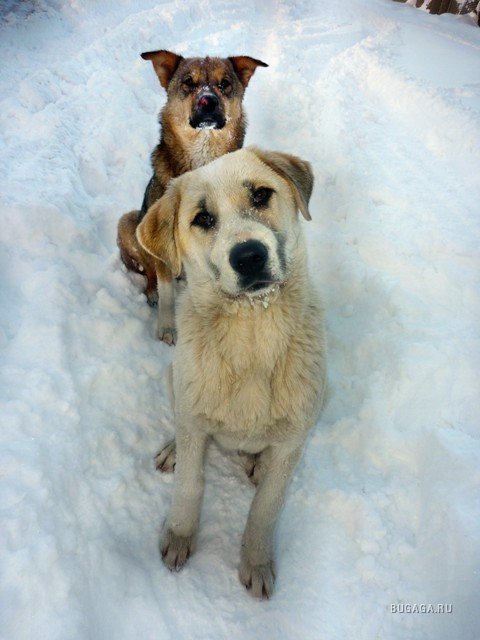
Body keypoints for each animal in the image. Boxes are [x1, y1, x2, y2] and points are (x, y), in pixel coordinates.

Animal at [117, 50, 268, 344]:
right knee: (149, 271)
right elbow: (165, 292)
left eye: (224, 83)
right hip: (129, 223)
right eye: (188, 82)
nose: (207, 101)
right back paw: (151, 291)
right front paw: (167, 328)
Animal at [136, 147, 327, 599]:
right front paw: (179, 536)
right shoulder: (195, 420)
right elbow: (189, 486)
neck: (252, 336)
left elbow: (264, 509)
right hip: (176, 381)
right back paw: (173, 448)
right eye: (202, 218)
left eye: (261, 194)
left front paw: (255, 562)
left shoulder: (292, 441)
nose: (249, 256)